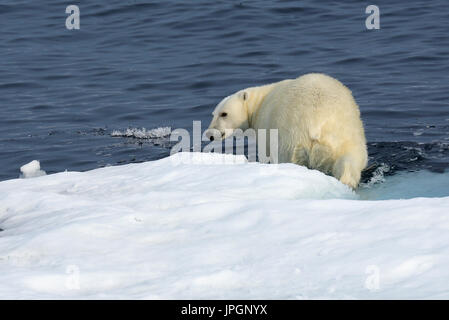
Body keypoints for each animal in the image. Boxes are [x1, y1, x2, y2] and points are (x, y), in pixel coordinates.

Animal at [206, 73, 368, 188]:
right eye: (214, 114)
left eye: (224, 114)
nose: (209, 134)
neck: (259, 102)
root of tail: (316, 122)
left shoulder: (265, 124)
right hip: (346, 135)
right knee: (350, 161)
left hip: (291, 138)